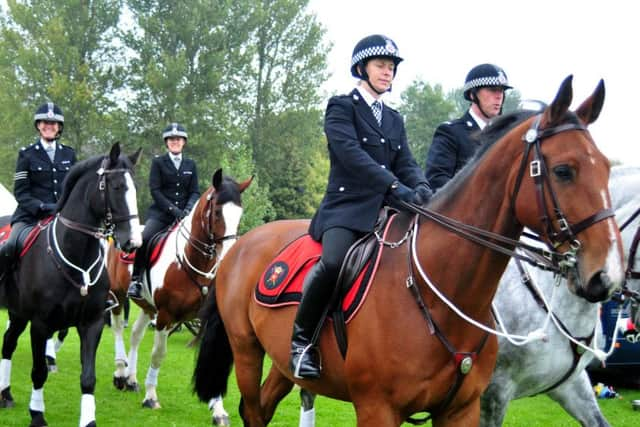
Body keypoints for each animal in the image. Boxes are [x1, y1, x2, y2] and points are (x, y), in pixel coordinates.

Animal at [0, 144, 141, 427]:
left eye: (135, 188)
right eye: (117, 186)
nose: (133, 242)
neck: (76, 253)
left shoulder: (92, 323)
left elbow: (88, 378)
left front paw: (88, 420)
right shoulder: (40, 324)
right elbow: (38, 372)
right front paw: (37, 414)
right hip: (18, 313)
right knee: (8, 344)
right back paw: (5, 394)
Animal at [106, 171, 251, 424]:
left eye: (240, 213)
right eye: (217, 212)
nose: (230, 255)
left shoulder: (206, 321)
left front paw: (218, 410)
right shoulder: (165, 316)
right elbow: (158, 355)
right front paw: (151, 397)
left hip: (147, 307)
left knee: (135, 335)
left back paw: (132, 379)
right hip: (118, 296)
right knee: (117, 330)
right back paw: (121, 374)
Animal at [192, 77, 624, 427]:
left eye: (606, 168)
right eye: (564, 171)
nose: (608, 275)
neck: (436, 294)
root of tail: (242, 244)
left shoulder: (462, 410)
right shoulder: (378, 409)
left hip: (282, 363)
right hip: (246, 350)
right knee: (251, 407)